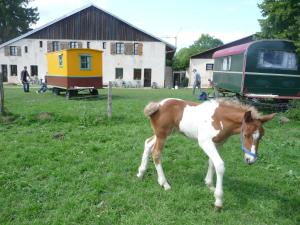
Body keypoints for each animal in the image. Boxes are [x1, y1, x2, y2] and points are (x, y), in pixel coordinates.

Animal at [137, 98, 276, 209]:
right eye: (246, 134)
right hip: (162, 135)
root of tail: (158, 105)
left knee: (147, 143)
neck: (220, 119)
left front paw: (210, 186)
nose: (250, 160)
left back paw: (141, 173)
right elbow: (219, 165)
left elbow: (211, 162)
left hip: (166, 133)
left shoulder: (218, 144)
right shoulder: (205, 142)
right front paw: (218, 201)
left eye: (261, 137)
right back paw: (164, 183)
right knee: (156, 153)